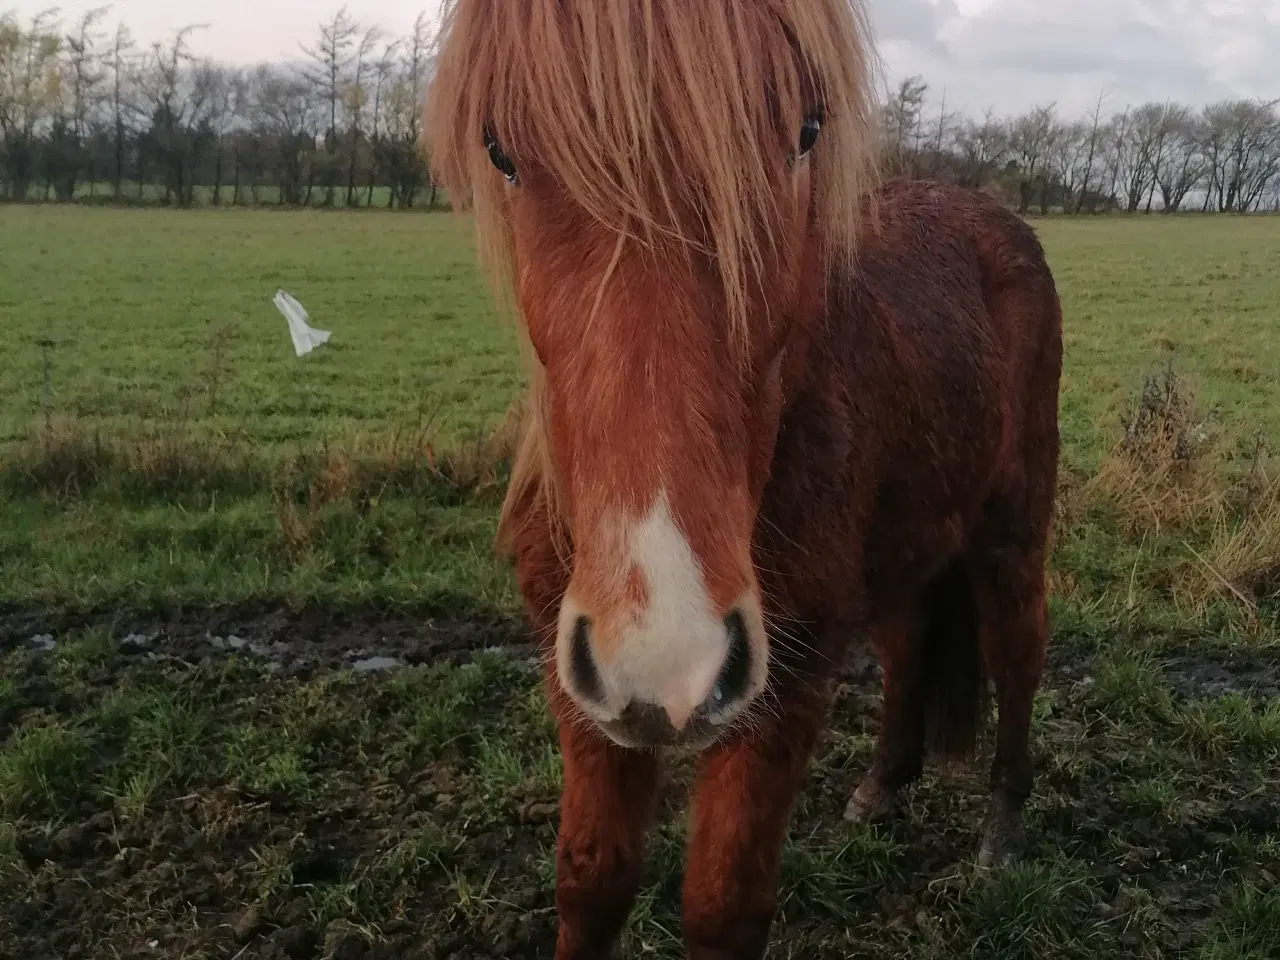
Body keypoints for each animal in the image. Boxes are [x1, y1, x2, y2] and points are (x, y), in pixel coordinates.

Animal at [424, 3, 1064, 957]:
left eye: (807, 129)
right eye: (500, 149)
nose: (669, 654)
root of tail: (991, 213)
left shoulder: (781, 692)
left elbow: (724, 904)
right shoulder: (583, 692)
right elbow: (590, 881)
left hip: (1012, 530)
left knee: (1019, 653)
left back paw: (1002, 830)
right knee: (910, 646)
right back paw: (882, 787)